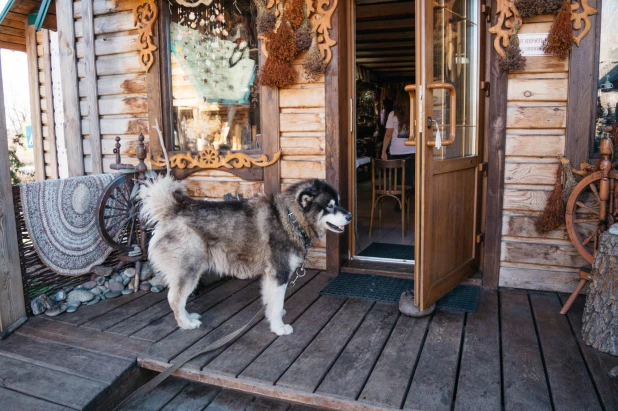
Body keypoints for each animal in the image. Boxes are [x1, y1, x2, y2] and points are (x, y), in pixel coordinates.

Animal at [141, 177, 352, 334]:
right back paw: (186, 323)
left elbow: (270, 301)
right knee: (174, 298)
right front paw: (279, 328)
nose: (350, 216)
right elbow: (277, 302)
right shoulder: (279, 273)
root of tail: (172, 210)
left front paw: (272, 317)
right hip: (189, 270)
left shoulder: (270, 275)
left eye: (339, 203)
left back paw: (189, 316)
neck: (290, 219)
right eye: (330, 206)